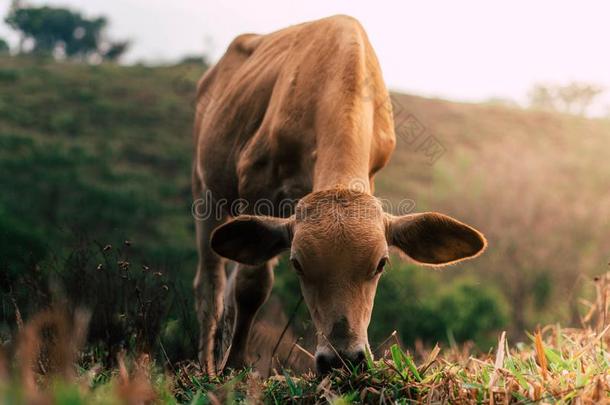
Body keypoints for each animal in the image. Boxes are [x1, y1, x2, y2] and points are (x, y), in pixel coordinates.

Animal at [190, 14, 484, 374]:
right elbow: (251, 285)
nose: (342, 359)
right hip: (205, 191)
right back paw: (208, 366)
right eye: (297, 264)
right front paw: (233, 367)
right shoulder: (256, 184)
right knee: (211, 286)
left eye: (381, 264)